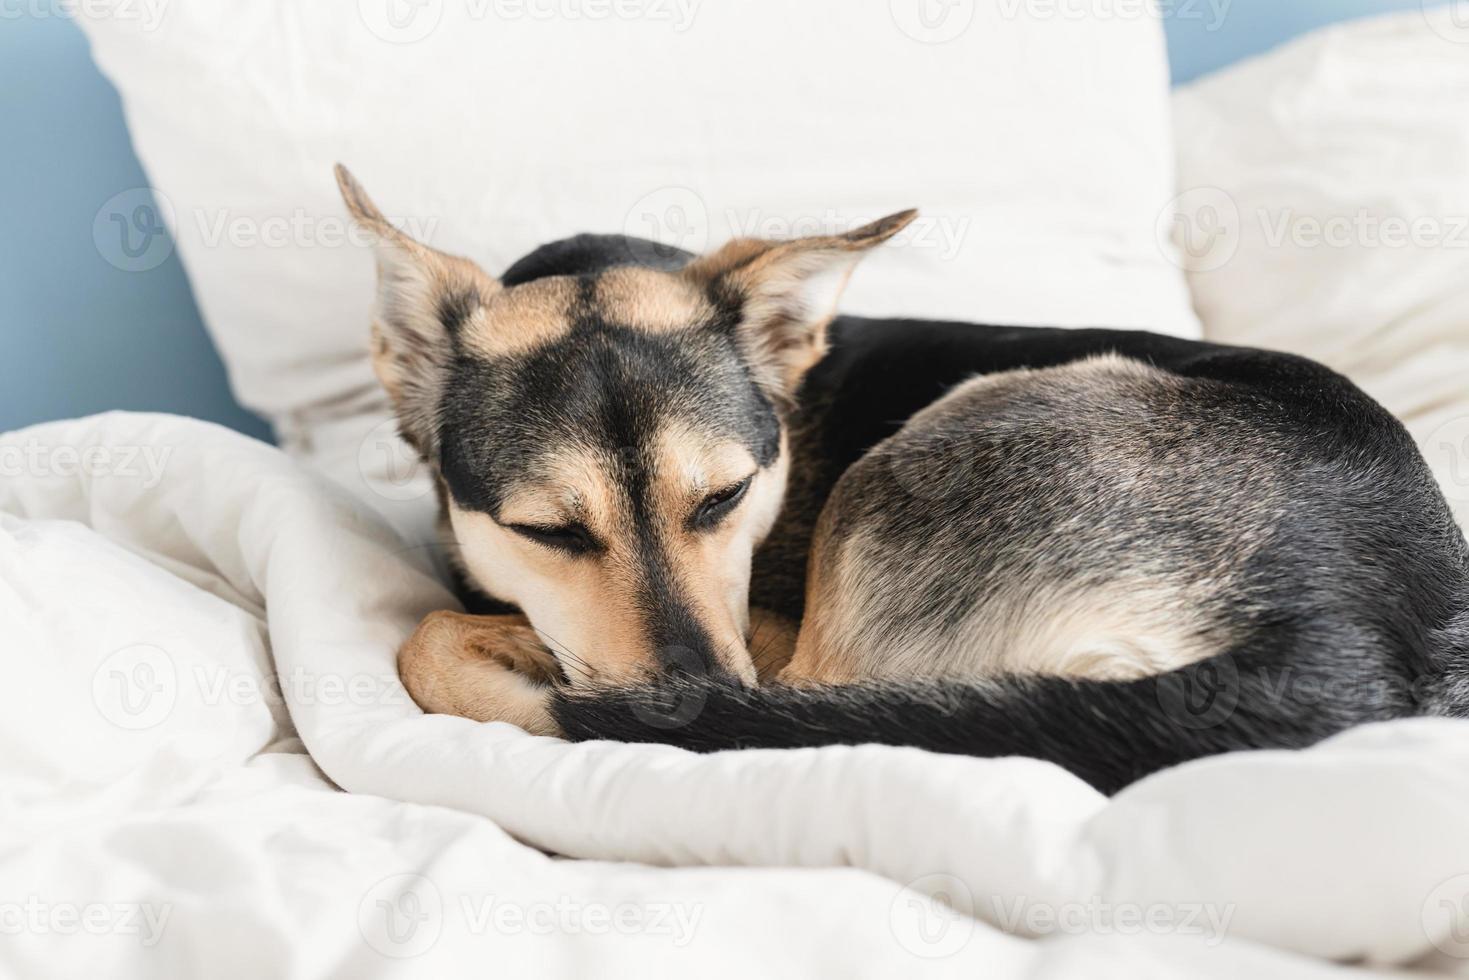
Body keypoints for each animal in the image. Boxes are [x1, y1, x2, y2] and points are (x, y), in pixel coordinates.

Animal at [336, 166, 1469, 799]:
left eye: (723, 498)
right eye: (550, 532)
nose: (690, 700)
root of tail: (1351, 622)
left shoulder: (763, 638)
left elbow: (428, 638)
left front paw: (523, 666)